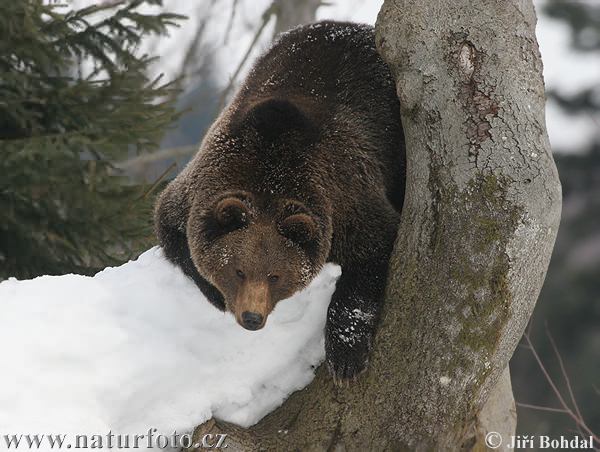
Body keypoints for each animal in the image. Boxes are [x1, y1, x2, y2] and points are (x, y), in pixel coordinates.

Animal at [155, 21, 408, 382]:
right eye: (238, 270)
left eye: (275, 275)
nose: (252, 318)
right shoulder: (198, 189)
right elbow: (173, 228)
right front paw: (216, 294)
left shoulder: (344, 200)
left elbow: (374, 249)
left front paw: (346, 355)